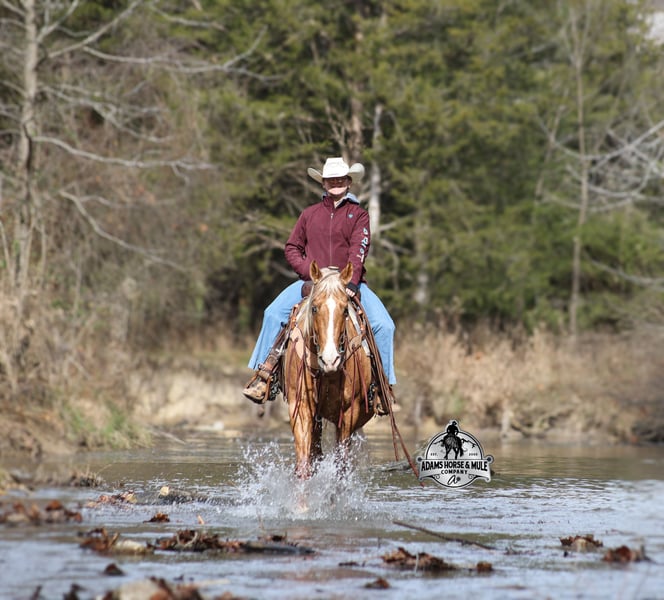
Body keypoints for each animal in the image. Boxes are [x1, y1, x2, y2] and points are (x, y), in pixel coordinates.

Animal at [282, 261, 374, 479]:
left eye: (345, 310)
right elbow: (304, 465)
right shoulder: (300, 407)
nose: (330, 359)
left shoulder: (349, 412)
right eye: (315, 308)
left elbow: (341, 468)